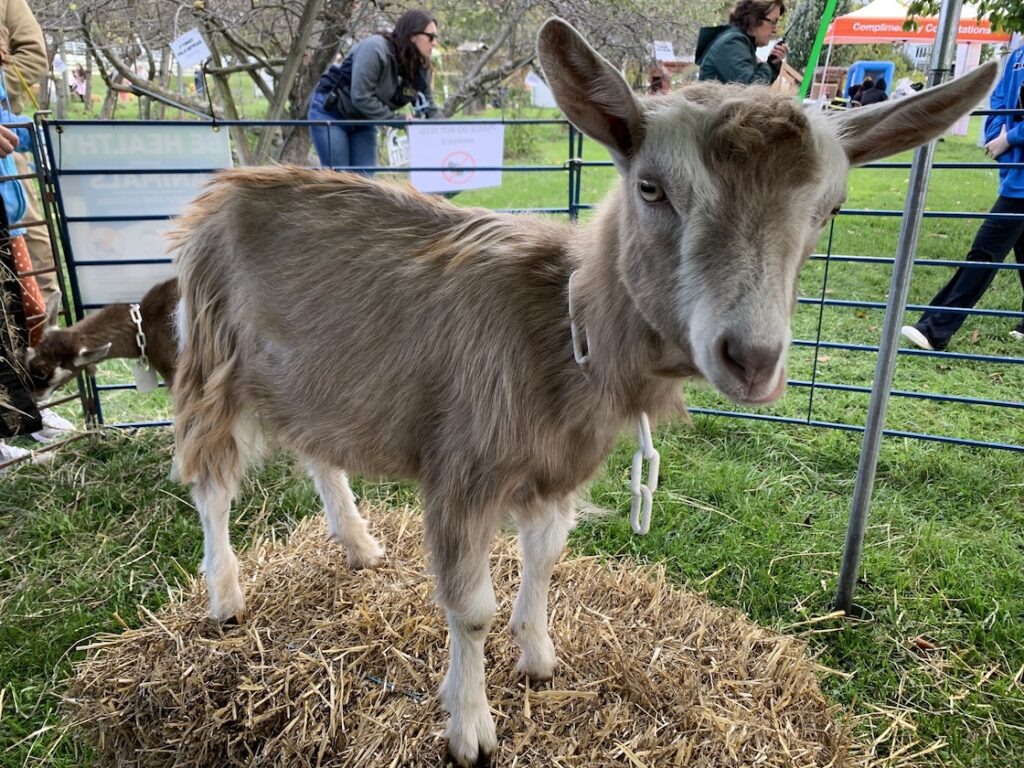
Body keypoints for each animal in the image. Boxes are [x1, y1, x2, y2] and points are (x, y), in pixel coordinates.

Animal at [167, 19, 991, 768]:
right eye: (651, 187)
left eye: (832, 209)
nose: (753, 358)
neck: (561, 329)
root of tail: (225, 186)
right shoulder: (463, 471)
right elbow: (470, 611)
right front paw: (470, 727)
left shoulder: (557, 469)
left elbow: (543, 561)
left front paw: (538, 657)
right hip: (213, 358)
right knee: (210, 482)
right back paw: (226, 598)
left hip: (312, 372)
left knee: (318, 450)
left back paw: (360, 544)